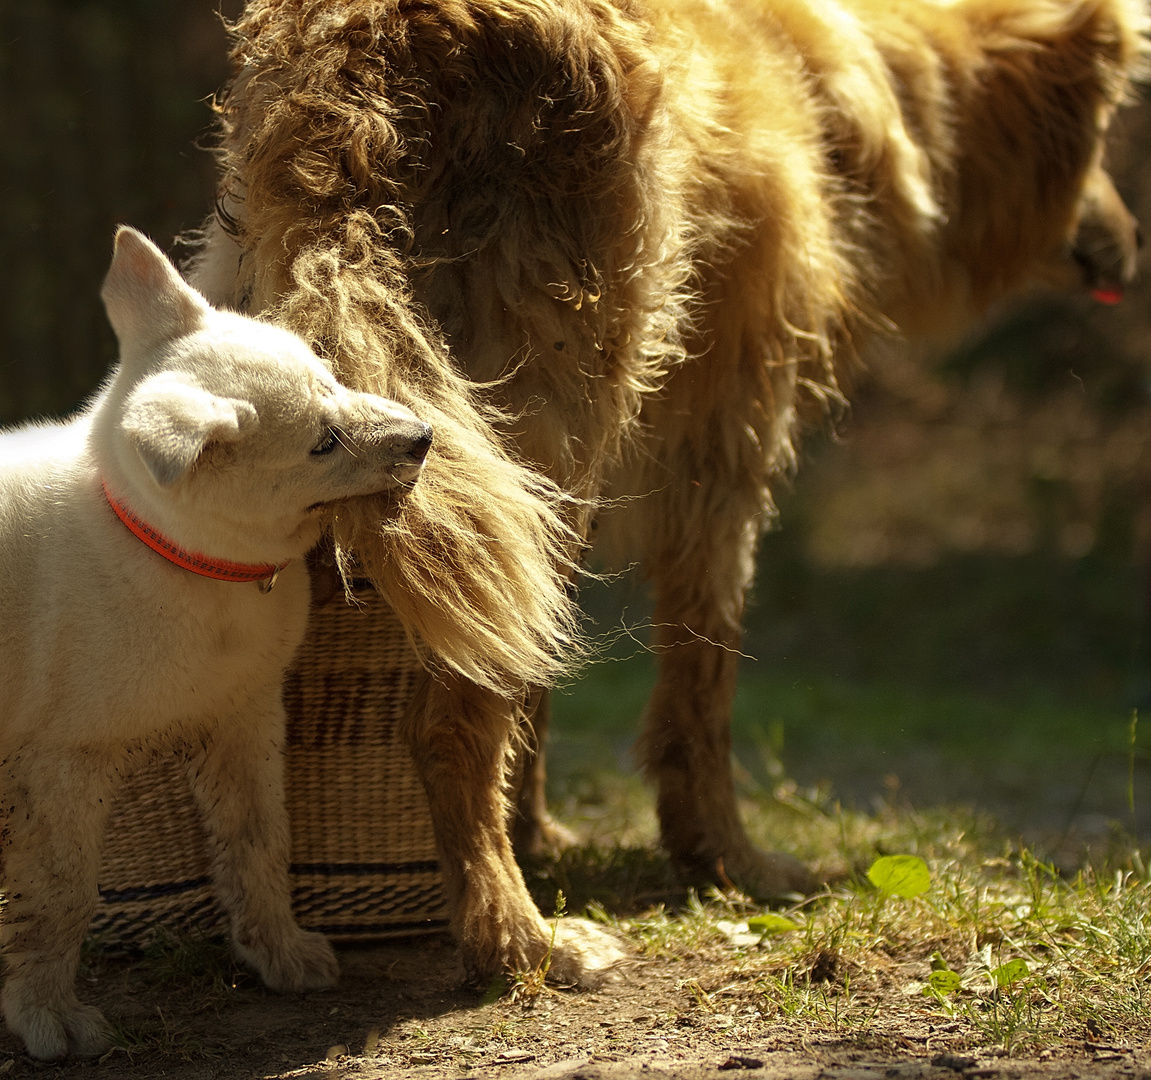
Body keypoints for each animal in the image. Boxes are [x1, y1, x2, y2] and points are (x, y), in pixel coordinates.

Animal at [0, 223, 432, 1054]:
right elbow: (61, 895)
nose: (424, 436)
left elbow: (261, 843)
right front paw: (47, 1013)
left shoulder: (244, 712)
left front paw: (281, 955)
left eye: (333, 377)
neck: (187, 562)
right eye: (322, 443)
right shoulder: (65, 759)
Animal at [186, 0, 1141, 985]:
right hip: (544, 422)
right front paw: (728, 860)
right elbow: (701, 685)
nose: (1132, 241)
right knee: (449, 719)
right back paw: (518, 938)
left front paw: (541, 833)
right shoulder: (720, 469)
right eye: (1103, 142)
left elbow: (547, 680)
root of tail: (359, 45)